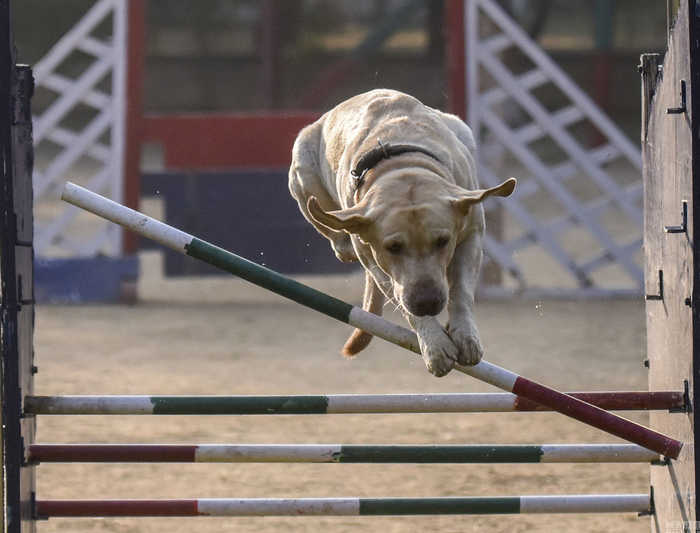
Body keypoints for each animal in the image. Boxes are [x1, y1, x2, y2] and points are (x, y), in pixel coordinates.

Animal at [288, 89, 516, 376]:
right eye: (393, 247)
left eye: (443, 241)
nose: (427, 302)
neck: (402, 167)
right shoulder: (376, 261)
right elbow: (405, 302)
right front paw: (435, 346)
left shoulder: (472, 233)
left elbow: (461, 291)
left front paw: (465, 335)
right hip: (301, 164)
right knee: (335, 237)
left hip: (463, 129)